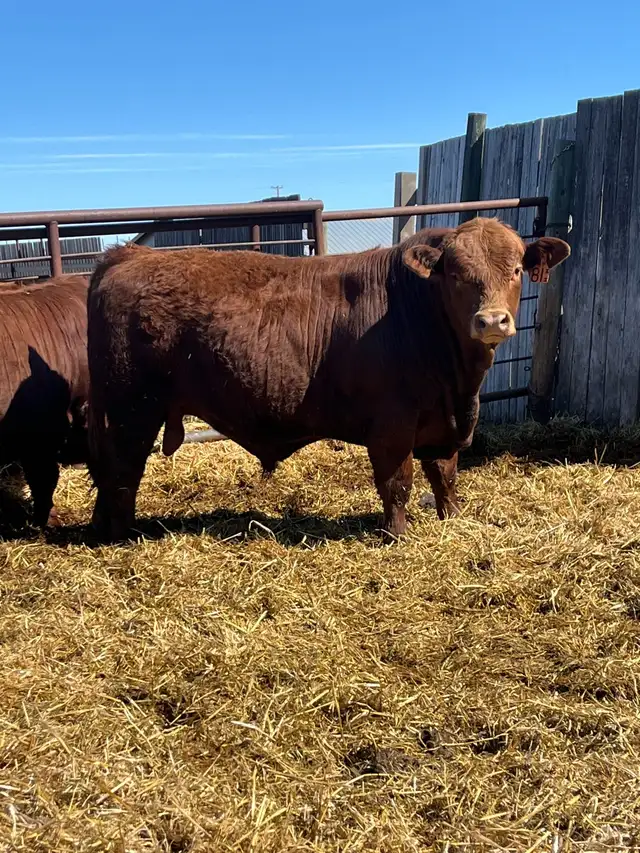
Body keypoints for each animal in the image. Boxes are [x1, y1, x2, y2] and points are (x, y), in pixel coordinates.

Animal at [86, 218, 569, 542]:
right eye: (455, 273)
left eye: (516, 270)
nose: (491, 320)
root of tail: (128, 255)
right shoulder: (392, 425)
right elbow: (397, 482)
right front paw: (397, 536)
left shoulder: (443, 422)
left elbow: (444, 475)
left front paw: (452, 519)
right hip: (131, 408)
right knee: (123, 471)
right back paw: (122, 534)